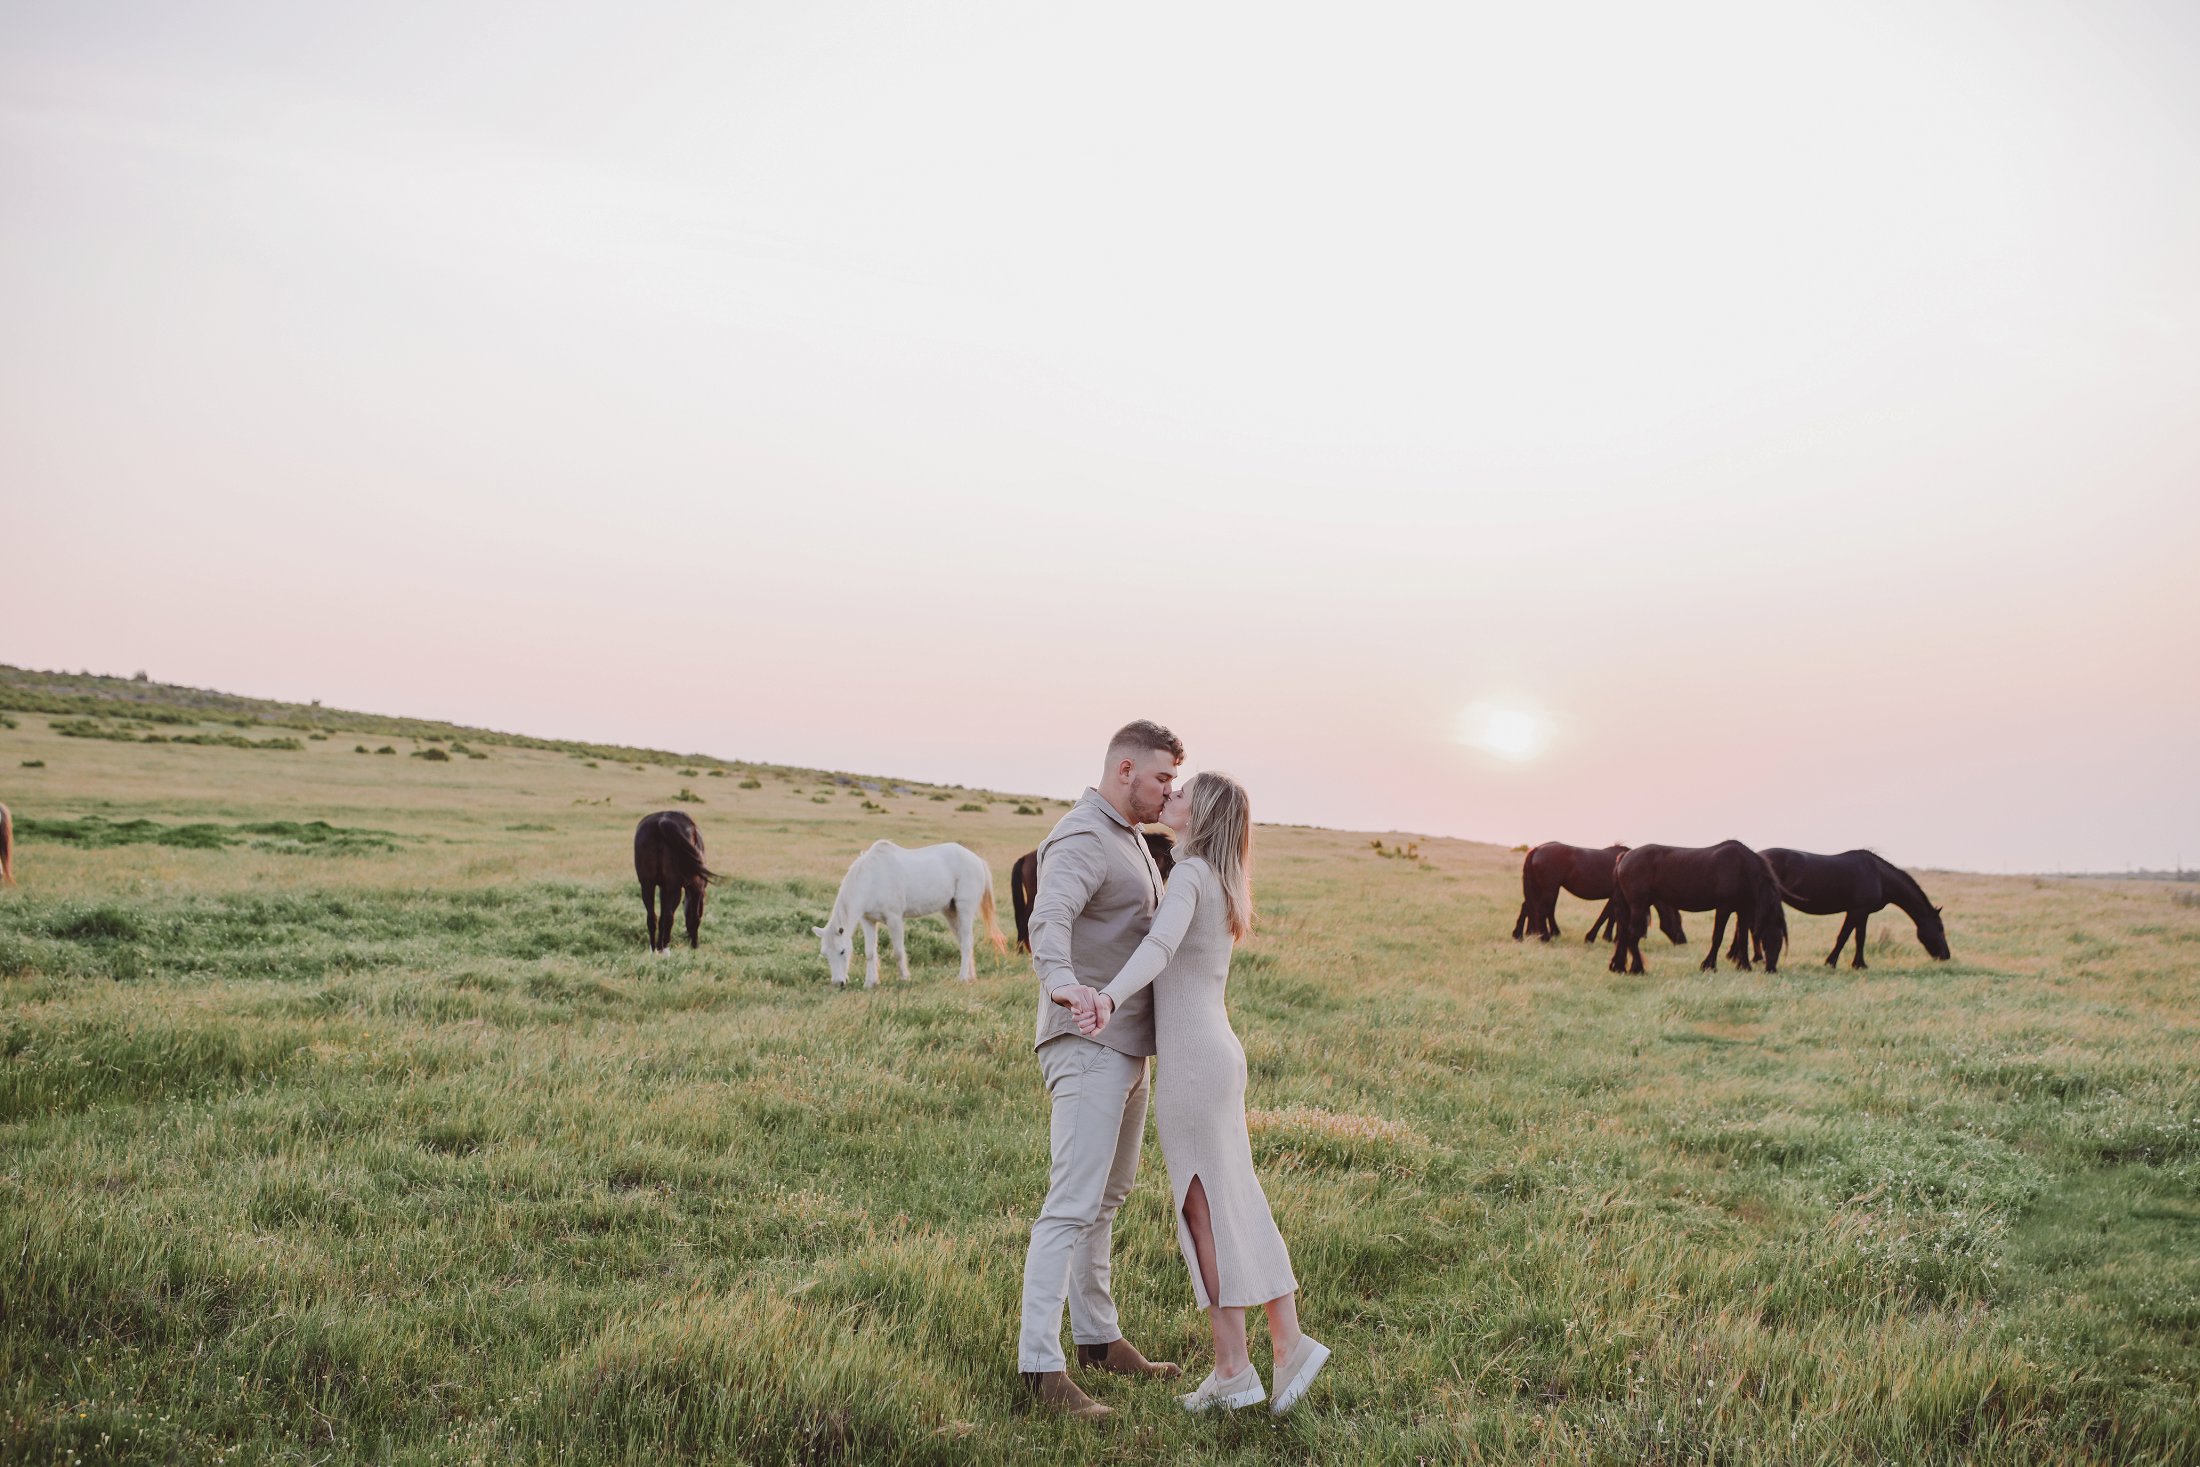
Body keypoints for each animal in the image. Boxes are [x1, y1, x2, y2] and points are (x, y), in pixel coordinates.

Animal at [634, 811, 717, 953]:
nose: (687, 935)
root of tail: (662, 821)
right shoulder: (697, 888)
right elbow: (695, 917)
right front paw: (695, 946)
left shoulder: (663, 888)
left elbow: (661, 917)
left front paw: (659, 945)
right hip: (675, 887)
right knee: (669, 917)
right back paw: (666, 948)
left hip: (647, 885)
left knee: (652, 917)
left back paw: (654, 949)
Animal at [816, 840, 1005, 987]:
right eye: (825, 953)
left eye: (842, 951)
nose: (838, 983)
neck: (872, 879)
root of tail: (977, 859)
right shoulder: (868, 921)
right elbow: (870, 952)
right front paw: (870, 983)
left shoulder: (894, 919)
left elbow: (898, 951)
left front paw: (904, 978)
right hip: (950, 912)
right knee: (964, 942)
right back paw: (970, 977)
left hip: (964, 909)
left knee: (966, 943)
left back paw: (962, 978)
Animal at [1511, 841, 1687, 945]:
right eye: (1678, 920)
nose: (1683, 940)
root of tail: (1537, 849)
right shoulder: (1616, 896)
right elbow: (1607, 915)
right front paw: (1594, 937)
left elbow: (1611, 916)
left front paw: (1609, 937)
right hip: (1549, 888)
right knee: (1541, 910)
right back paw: (1545, 937)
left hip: (1540, 888)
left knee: (1529, 907)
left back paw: (1521, 934)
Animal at [1609, 841, 1791, 975]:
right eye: (1767, 938)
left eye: (1781, 940)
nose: (1771, 969)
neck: (1743, 868)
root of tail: (1624, 856)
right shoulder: (1724, 908)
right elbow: (1717, 937)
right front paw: (1709, 965)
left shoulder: (1743, 910)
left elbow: (1743, 938)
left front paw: (1744, 966)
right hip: (1638, 905)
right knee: (1632, 935)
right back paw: (1638, 969)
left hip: (1630, 906)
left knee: (1624, 934)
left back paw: (1620, 967)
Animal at [1758, 848, 1950, 968]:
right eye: (1940, 929)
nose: (1946, 955)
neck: (1879, 876)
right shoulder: (1858, 911)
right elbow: (1850, 937)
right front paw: (1842, 963)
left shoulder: (1859, 913)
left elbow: (1854, 937)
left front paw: (1851, 963)